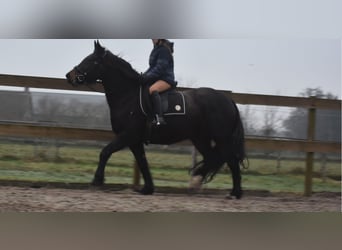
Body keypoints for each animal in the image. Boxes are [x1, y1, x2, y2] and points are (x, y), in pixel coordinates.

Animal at [65, 40, 246, 198]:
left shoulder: (127, 135)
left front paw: (97, 180)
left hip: (221, 138)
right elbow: (142, 162)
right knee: (214, 157)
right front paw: (147, 189)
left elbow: (105, 152)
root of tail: (228, 100)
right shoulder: (135, 141)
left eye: (92, 61)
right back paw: (201, 181)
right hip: (201, 138)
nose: (69, 76)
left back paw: (233, 192)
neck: (127, 97)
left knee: (229, 160)